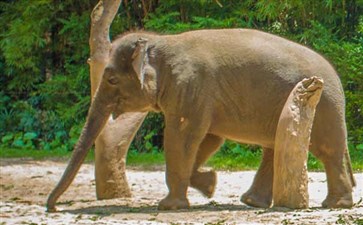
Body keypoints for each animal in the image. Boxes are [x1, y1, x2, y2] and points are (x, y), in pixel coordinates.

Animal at [45, 28, 356, 211]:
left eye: (111, 79)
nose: (52, 207)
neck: (160, 41)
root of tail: (336, 75)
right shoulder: (197, 95)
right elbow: (207, 138)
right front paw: (209, 185)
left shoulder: (190, 87)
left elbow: (182, 135)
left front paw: (169, 206)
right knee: (276, 149)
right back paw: (251, 202)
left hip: (323, 107)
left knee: (327, 151)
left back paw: (335, 205)